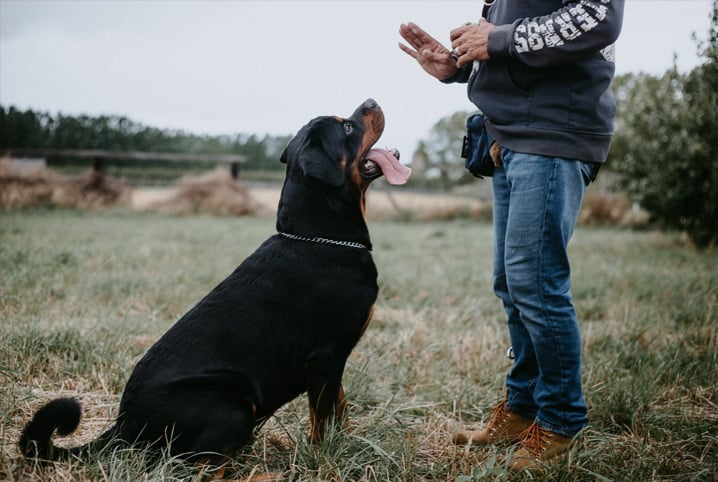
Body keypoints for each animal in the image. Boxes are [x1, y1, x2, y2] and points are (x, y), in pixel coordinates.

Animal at [19, 100, 410, 466]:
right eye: (346, 127)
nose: (371, 101)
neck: (319, 236)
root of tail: (124, 425)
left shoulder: (333, 363)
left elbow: (340, 409)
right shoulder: (325, 357)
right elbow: (324, 419)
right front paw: (328, 456)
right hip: (231, 406)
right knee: (198, 465)